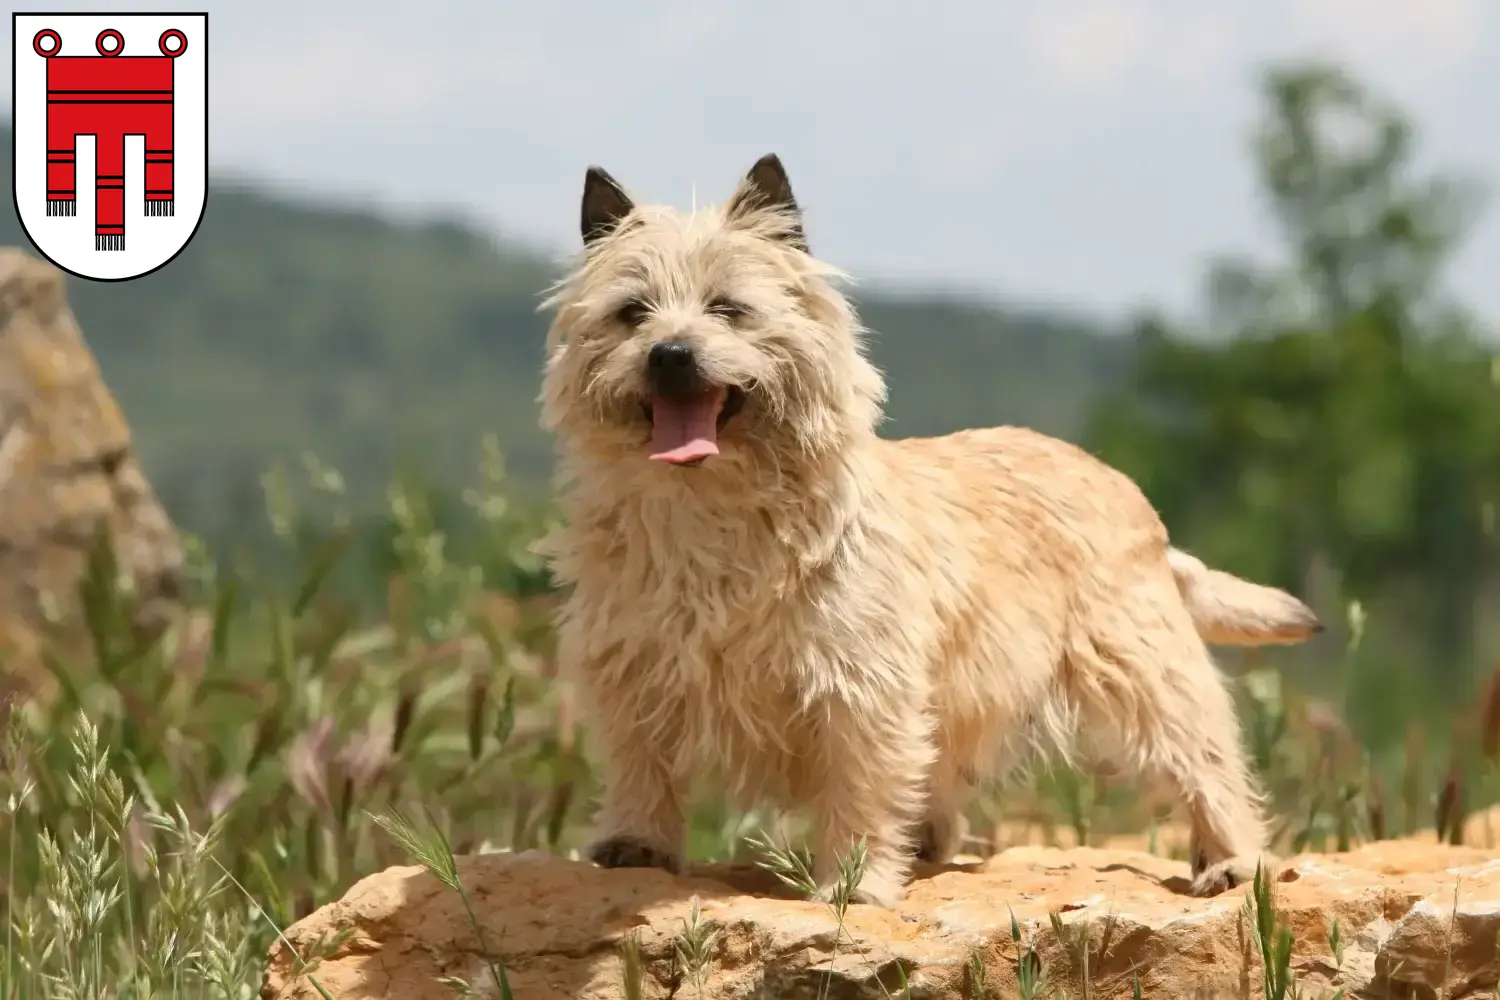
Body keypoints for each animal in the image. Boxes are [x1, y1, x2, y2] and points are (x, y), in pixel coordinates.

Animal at [540, 150, 1326, 905]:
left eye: (729, 309)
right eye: (632, 313)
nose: (670, 354)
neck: (711, 506)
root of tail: (1129, 492)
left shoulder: (859, 686)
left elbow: (861, 784)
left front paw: (851, 881)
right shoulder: (632, 669)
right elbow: (641, 761)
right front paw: (636, 845)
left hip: (1144, 668)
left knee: (1205, 759)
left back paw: (1230, 861)